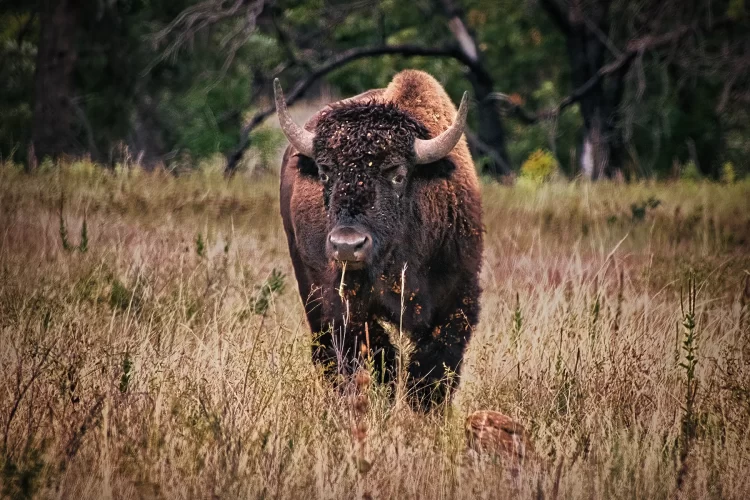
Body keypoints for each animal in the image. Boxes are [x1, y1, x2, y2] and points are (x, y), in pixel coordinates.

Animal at [275, 70, 484, 409]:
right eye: (325, 172)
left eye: (397, 173)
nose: (347, 245)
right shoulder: (350, 305)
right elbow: (379, 356)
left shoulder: (457, 301)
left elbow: (433, 370)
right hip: (310, 288)